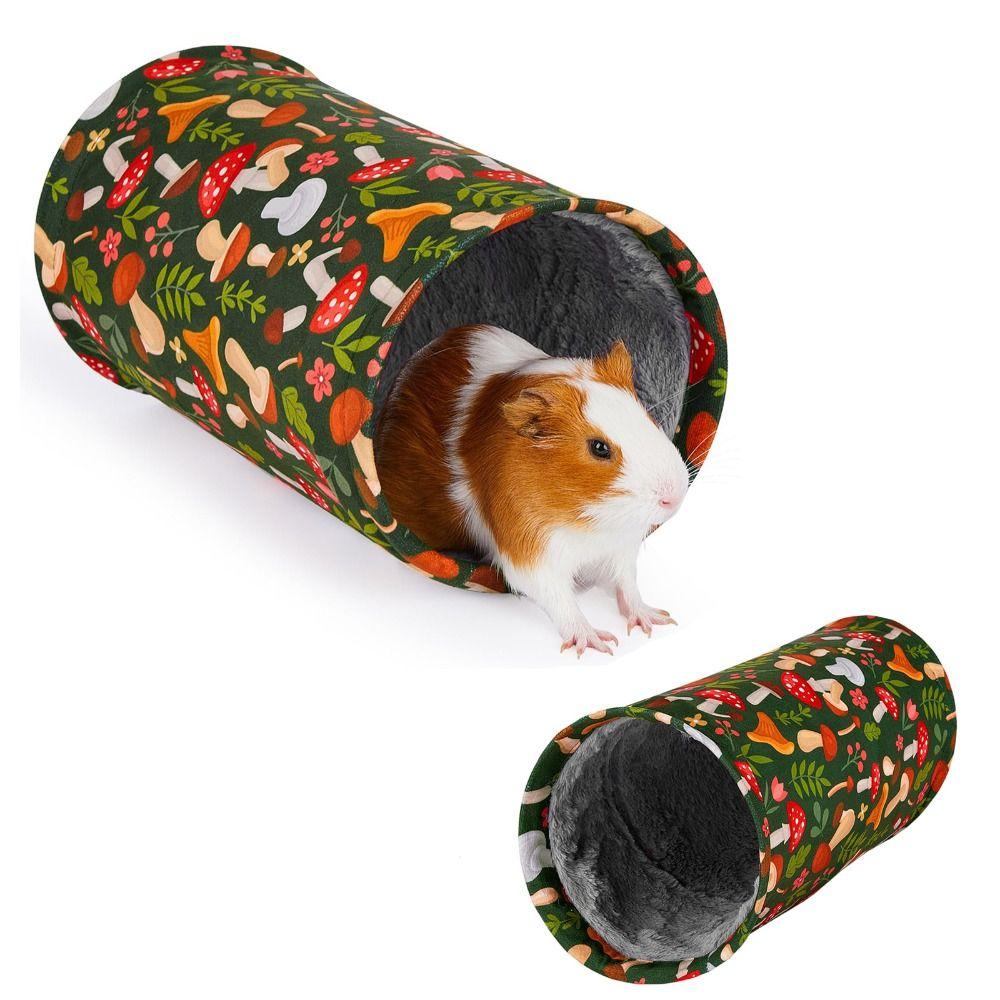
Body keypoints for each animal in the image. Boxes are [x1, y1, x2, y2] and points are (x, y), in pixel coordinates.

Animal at [375, 325, 689, 656]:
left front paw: (655, 620)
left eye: (647, 416)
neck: (585, 520)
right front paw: (597, 643)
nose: (674, 496)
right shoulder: (529, 552)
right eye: (599, 448)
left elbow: (627, 584)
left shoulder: (620, 547)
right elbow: (561, 600)